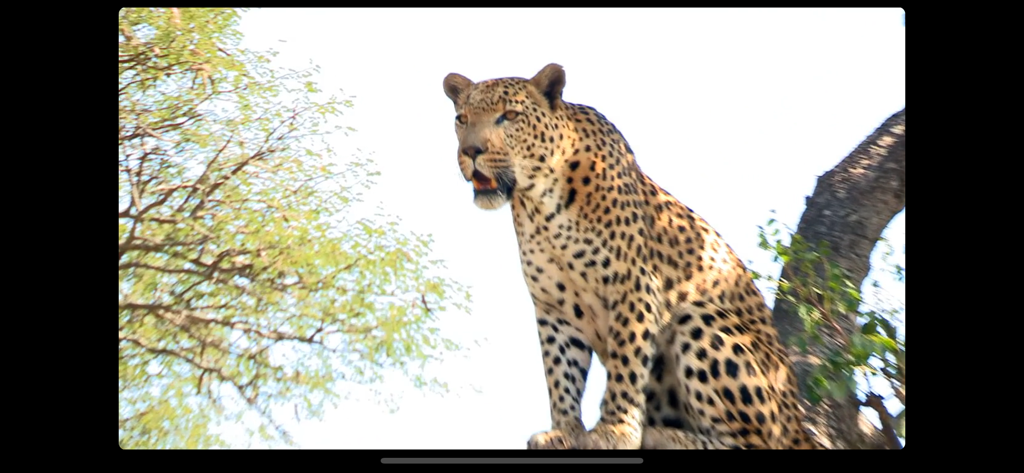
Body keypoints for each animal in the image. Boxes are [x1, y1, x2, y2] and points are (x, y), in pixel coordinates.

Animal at [442, 63, 822, 449]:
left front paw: (615, 430)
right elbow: (561, 372)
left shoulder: (634, 283)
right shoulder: (553, 307)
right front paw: (565, 430)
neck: (540, 204)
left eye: (509, 116)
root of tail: (798, 425)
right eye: (462, 119)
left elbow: (627, 359)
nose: (471, 150)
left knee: (750, 443)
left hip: (702, 319)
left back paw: (664, 435)